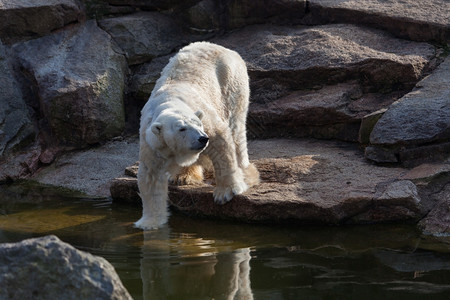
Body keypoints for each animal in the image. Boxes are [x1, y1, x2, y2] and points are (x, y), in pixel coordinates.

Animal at [134, 41, 260, 230]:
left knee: (236, 129)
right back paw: (183, 176)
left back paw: (247, 173)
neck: (168, 102)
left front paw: (225, 192)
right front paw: (150, 223)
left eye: (197, 124)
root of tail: (221, 47)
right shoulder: (152, 142)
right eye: (181, 129)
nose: (202, 139)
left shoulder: (207, 120)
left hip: (231, 84)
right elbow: (151, 176)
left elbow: (221, 141)